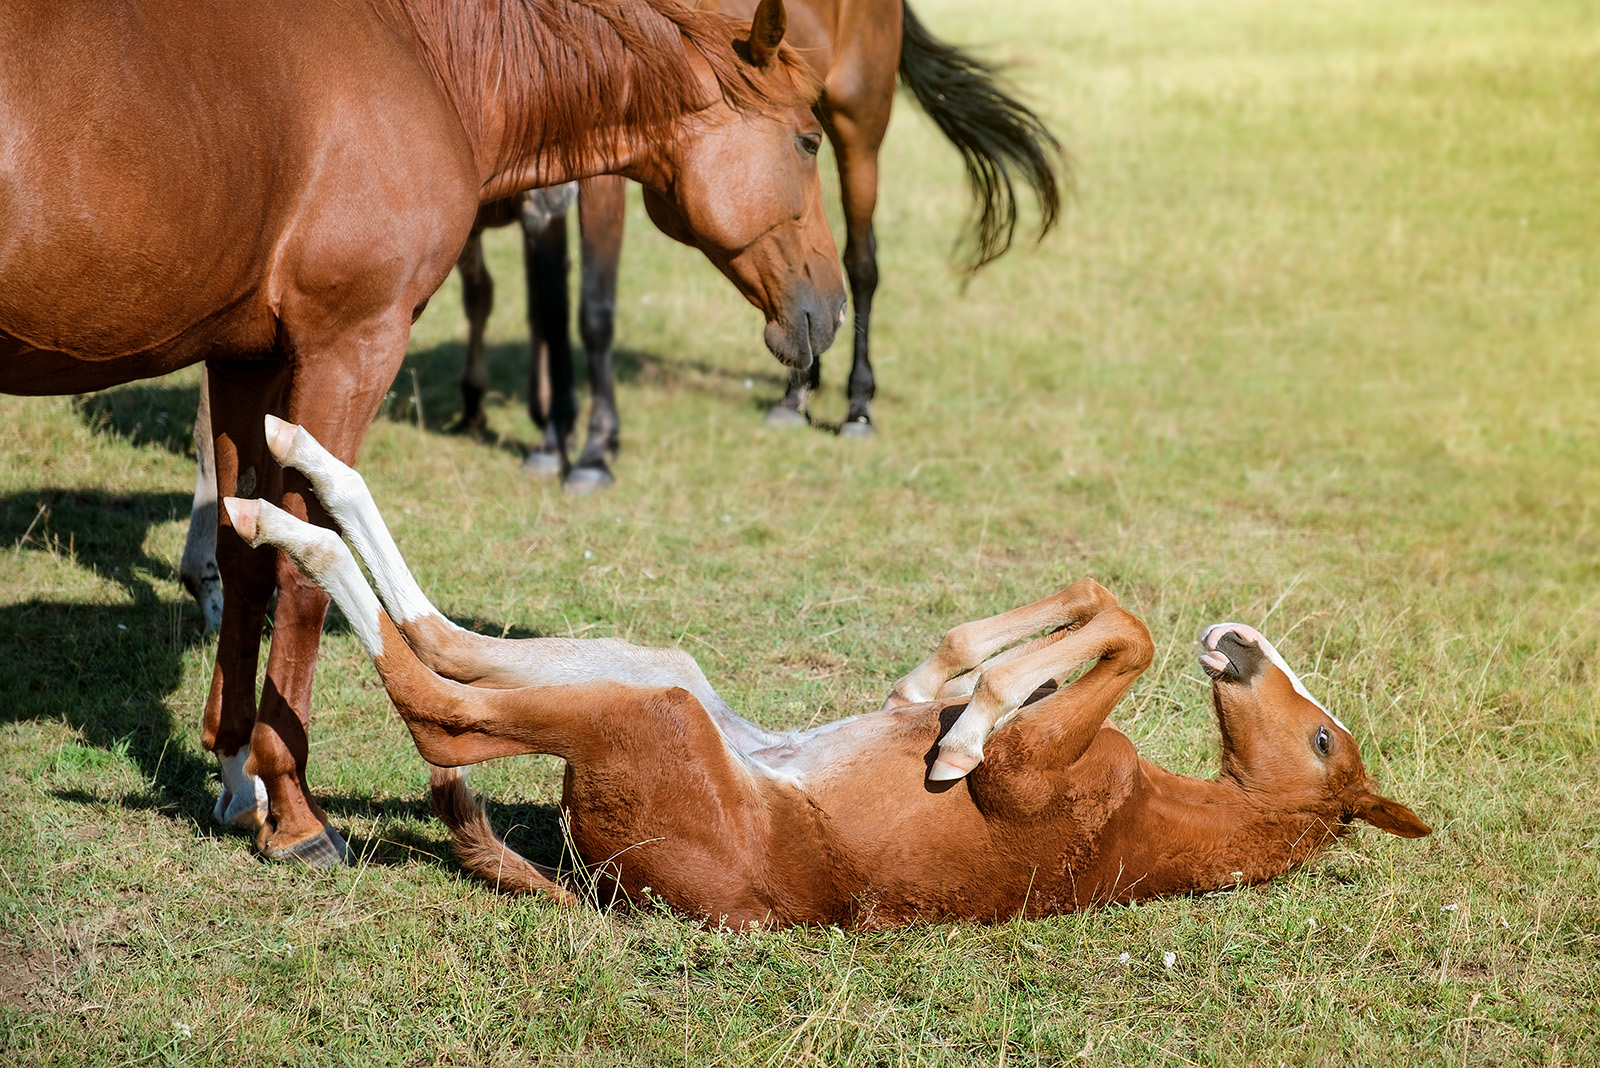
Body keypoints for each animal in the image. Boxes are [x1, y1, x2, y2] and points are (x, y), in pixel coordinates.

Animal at [3, 0, 851, 863]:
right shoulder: (350, 347)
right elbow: (304, 579)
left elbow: (245, 559)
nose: (832, 307)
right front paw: (294, 812)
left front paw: (240, 779)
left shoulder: (242, 360)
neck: (426, 62)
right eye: (809, 141)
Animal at [232, 415, 1433, 927]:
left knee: (439, 702)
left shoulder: (1031, 778)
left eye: (1323, 739)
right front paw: (950, 695)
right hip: (664, 676)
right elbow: (1093, 605)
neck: (1154, 817)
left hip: (652, 714)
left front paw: (960, 738)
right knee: (446, 641)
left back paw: (280, 518)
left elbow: (1114, 636)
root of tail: (604, 887)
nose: (1237, 641)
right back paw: (298, 464)